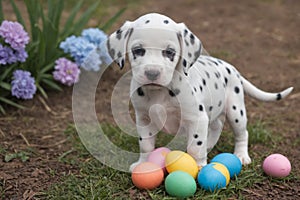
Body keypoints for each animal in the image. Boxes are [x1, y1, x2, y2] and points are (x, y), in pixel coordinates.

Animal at [106, 13, 292, 171]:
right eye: (137, 50)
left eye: (170, 52)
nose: (152, 73)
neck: (160, 92)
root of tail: (231, 68)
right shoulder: (144, 118)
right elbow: (145, 145)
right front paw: (143, 164)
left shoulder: (197, 118)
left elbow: (195, 146)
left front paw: (198, 166)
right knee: (216, 126)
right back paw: (210, 144)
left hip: (236, 111)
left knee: (242, 133)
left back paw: (241, 155)